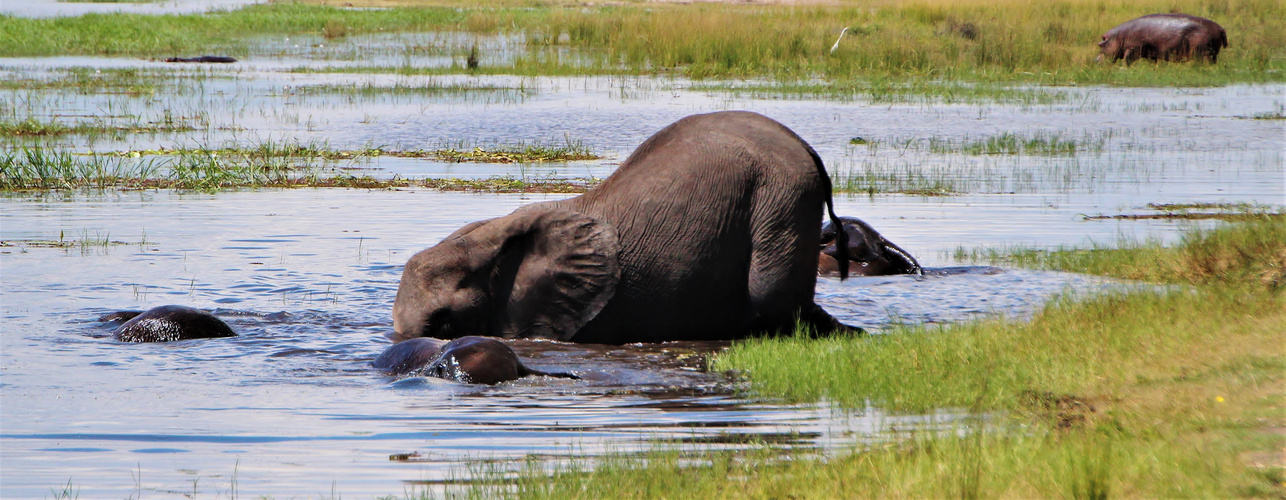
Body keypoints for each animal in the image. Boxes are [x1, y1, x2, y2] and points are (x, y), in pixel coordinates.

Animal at [1095, 13, 1224, 64]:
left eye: (1101, 43)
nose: (1095, 60)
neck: (1119, 37)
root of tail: (1221, 28)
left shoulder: (1134, 47)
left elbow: (1127, 59)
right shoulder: (1152, 52)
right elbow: (1153, 61)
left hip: (1204, 52)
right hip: (1212, 53)